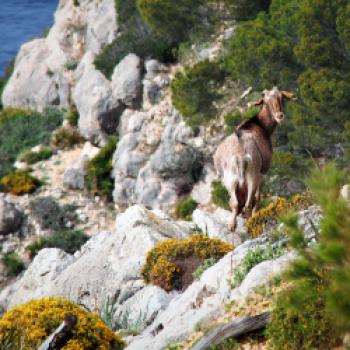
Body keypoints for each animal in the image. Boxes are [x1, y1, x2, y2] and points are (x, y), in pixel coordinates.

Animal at [213, 86, 296, 231]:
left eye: (281, 97)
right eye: (266, 102)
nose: (279, 116)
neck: (258, 124)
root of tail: (240, 157)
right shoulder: (263, 173)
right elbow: (257, 197)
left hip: (229, 180)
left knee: (235, 203)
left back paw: (232, 226)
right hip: (252, 175)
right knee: (248, 203)